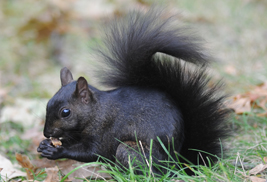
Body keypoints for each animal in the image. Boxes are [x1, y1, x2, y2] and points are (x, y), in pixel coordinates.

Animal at [37, 8, 230, 175]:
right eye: (47, 104)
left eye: (66, 112)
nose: (47, 133)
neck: (97, 111)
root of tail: (177, 164)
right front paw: (45, 145)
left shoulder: (105, 133)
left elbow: (92, 152)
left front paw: (58, 151)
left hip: (130, 150)